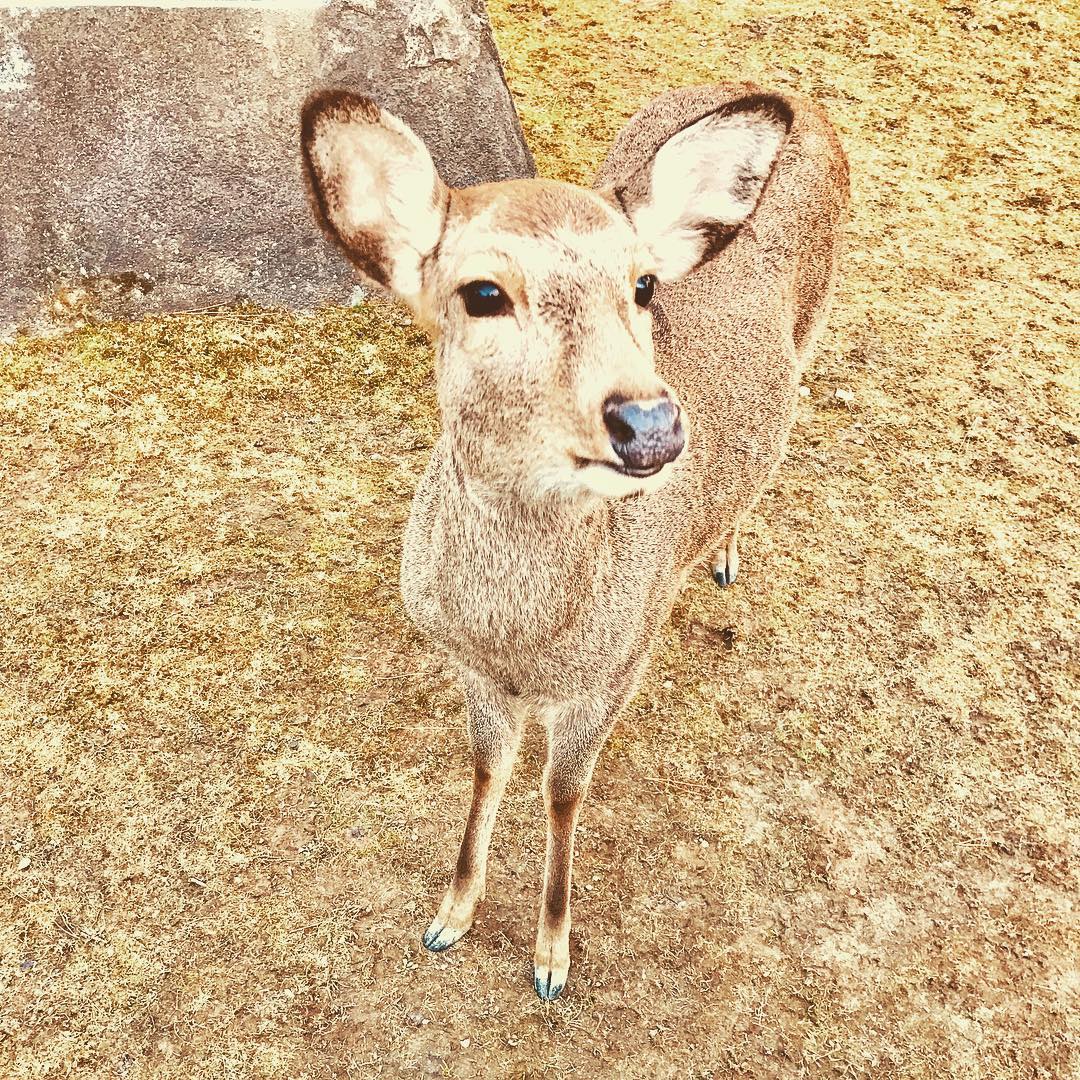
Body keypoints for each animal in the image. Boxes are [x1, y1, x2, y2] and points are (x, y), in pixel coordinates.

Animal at [300, 82, 848, 1000]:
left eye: (644, 283)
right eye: (483, 292)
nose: (650, 421)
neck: (524, 641)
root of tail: (803, 99)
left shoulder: (620, 664)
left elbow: (563, 791)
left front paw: (552, 956)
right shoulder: (467, 664)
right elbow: (488, 767)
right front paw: (451, 915)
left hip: (813, 327)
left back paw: (724, 552)